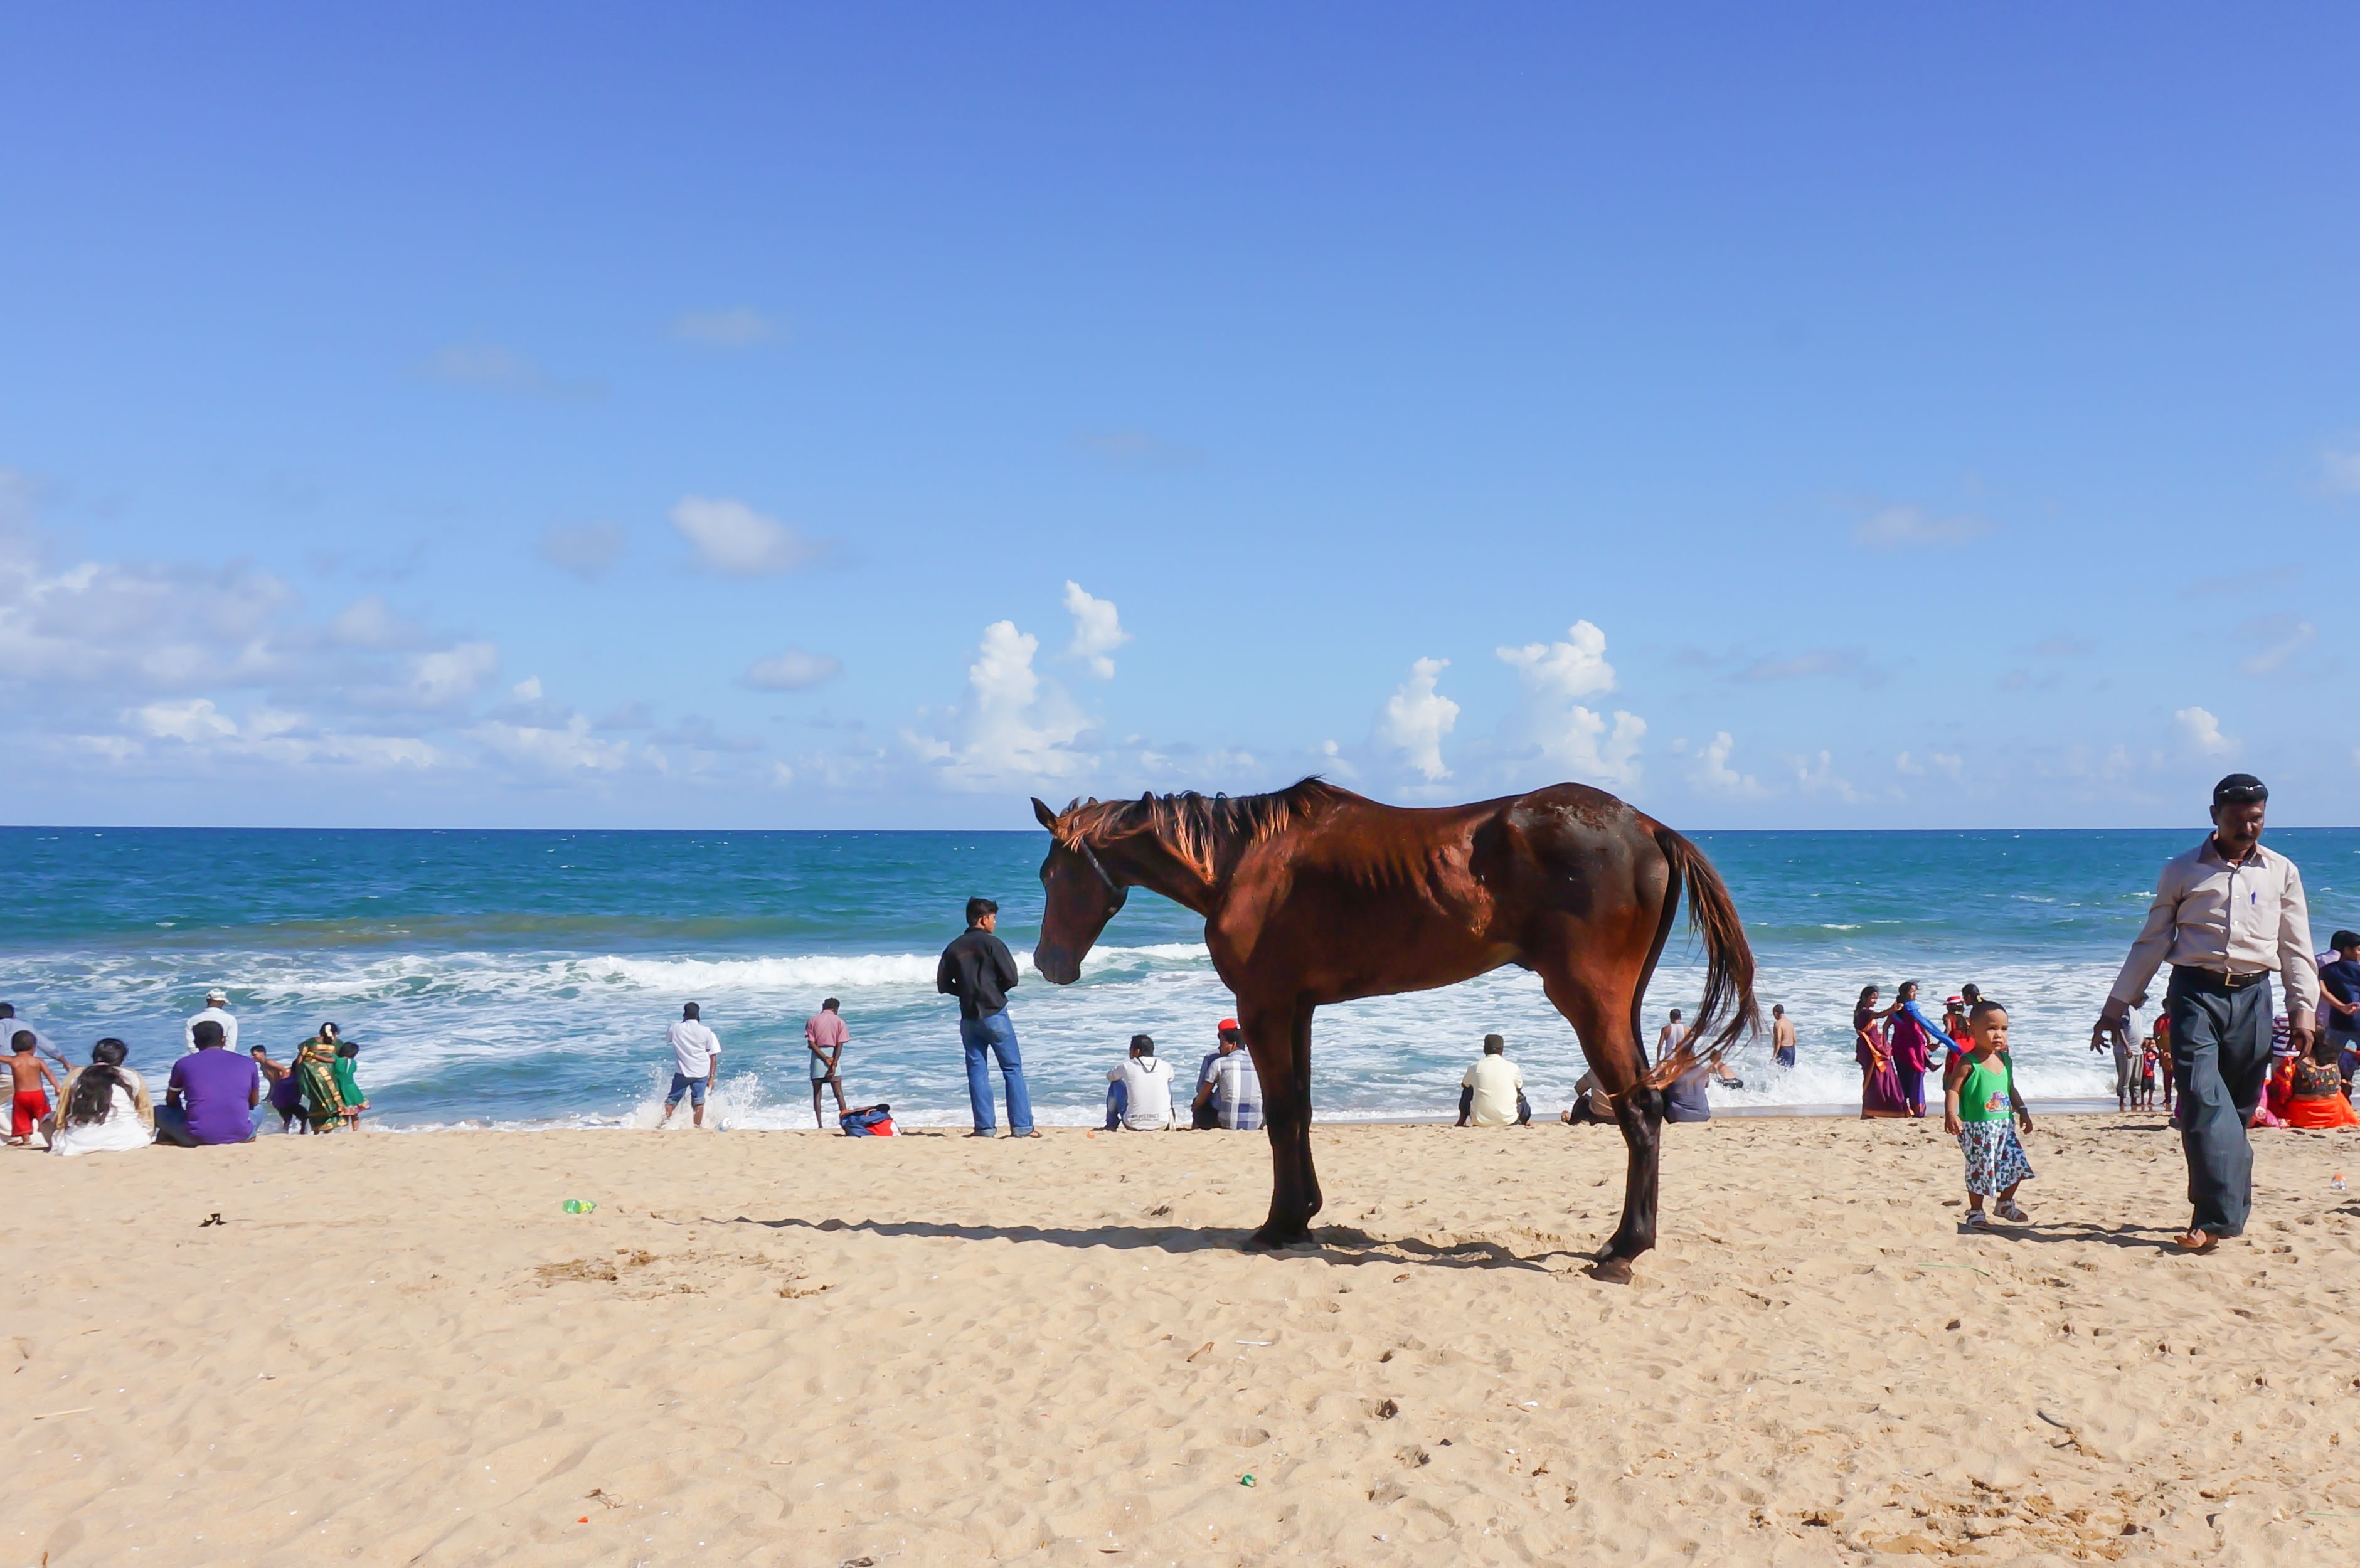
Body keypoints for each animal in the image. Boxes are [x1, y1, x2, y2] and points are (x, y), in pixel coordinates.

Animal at [1033, 778, 1755, 1283]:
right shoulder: (1298, 1009)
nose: (1047, 963)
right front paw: (1302, 1215)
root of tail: (1646, 825)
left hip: (1587, 1000)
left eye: (1050, 873)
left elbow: (1281, 1115)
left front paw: (1277, 1224)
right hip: (1620, 1004)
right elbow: (1300, 1111)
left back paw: (1622, 1250)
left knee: (1639, 1110)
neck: (1246, 862)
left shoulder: (1263, 1005)